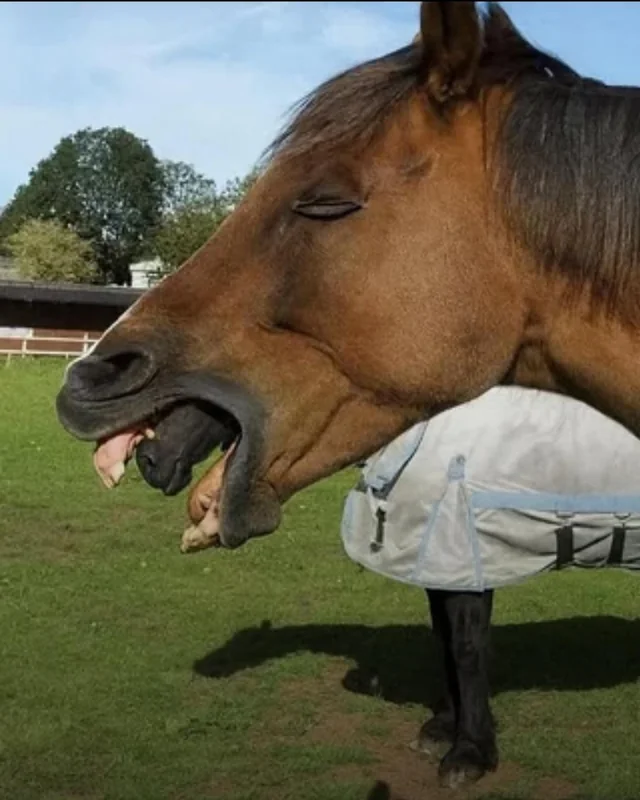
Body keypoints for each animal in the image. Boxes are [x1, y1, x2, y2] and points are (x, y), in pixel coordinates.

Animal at [56, 1, 640, 788]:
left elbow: (464, 646)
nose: (91, 381)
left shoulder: (462, 556)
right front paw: (446, 730)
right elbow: (446, 640)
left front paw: (467, 751)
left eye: (326, 202)